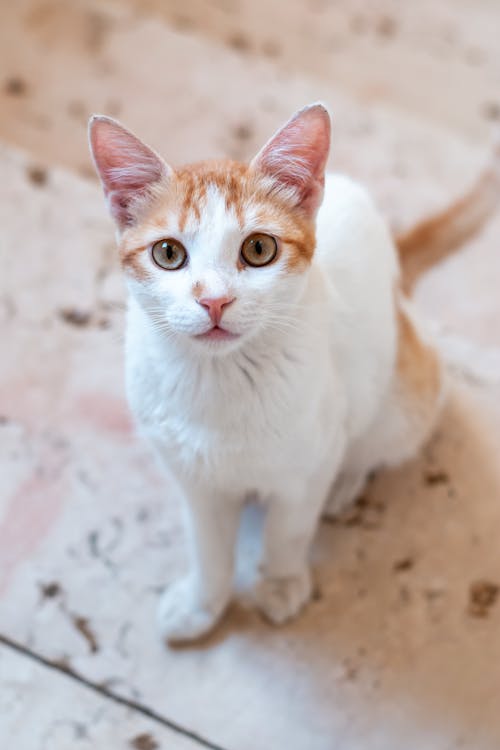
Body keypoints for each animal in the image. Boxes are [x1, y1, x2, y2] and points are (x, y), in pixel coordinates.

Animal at [90, 104, 500, 648]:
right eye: (168, 254)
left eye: (259, 249)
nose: (214, 301)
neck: (221, 382)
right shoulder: (194, 479)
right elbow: (209, 547)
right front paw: (203, 605)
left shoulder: (307, 465)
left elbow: (289, 530)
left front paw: (280, 583)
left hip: (404, 393)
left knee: (371, 440)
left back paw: (346, 481)